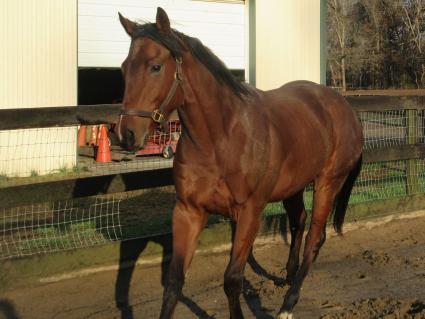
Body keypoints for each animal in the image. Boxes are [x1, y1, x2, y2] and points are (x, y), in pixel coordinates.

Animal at [117, 7, 364, 319]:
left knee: (314, 238)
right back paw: (288, 277)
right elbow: (174, 282)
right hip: (294, 187)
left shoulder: (249, 211)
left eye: (156, 67)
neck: (220, 139)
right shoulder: (188, 211)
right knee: (298, 222)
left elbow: (232, 280)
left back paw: (288, 304)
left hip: (328, 183)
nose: (126, 134)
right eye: (124, 68)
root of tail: (345, 107)